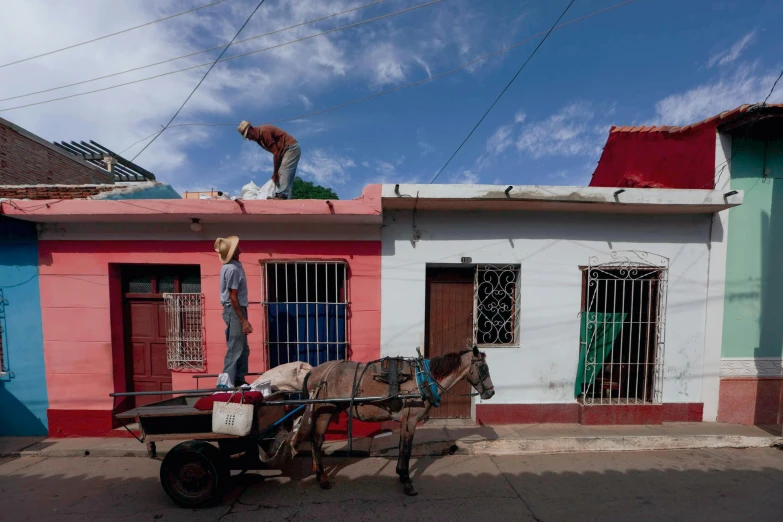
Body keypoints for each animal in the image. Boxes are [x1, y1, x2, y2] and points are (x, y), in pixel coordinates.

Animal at [298, 344, 494, 494]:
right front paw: (407, 481)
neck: (423, 379)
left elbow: (402, 447)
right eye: (484, 368)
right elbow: (406, 449)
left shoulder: (405, 421)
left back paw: (319, 474)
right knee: (317, 439)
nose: (491, 393)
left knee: (316, 439)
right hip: (326, 410)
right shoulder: (411, 420)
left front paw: (401, 474)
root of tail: (314, 371)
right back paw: (323, 478)